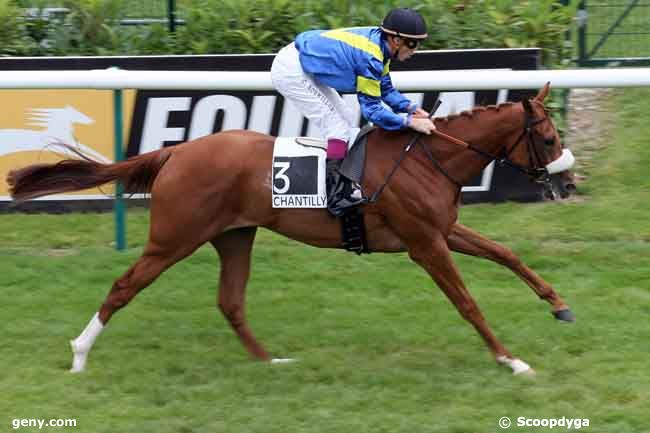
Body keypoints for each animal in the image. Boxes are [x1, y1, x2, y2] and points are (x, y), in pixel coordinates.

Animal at [7, 82, 572, 372]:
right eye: (547, 138)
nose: (567, 182)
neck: (427, 157)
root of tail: (176, 151)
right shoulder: (424, 243)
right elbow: (468, 302)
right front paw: (509, 359)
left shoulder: (442, 230)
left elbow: (505, 253)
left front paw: (559, 305)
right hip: (174, 237)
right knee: (124, 286)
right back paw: (80, 354)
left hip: (234, 235)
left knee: (230, 301)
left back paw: (269, 360)